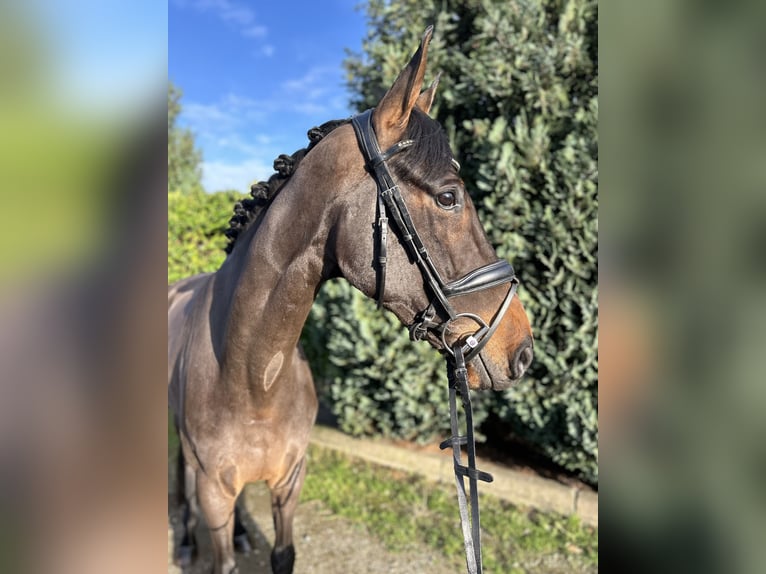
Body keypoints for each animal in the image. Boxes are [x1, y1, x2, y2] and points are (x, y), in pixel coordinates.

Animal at [168, 28, 536, 574]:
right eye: (449, 197)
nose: (522, 349)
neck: (251, 377)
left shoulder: (289, 483)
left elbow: (282, 553)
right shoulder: (214, 490)